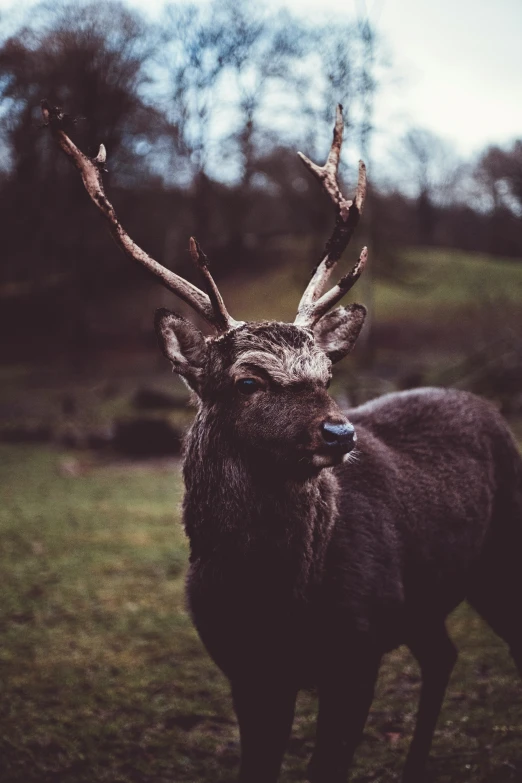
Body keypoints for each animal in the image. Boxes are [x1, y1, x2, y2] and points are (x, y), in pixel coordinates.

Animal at [41, 99, 520, 783]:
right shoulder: (244, 667)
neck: (275, 602)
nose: (340, 430)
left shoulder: (358, 648)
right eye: (247, 380)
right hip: (425, 598)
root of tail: (490, 408)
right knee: (442, 654)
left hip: (502, 553)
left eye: (326, 375)